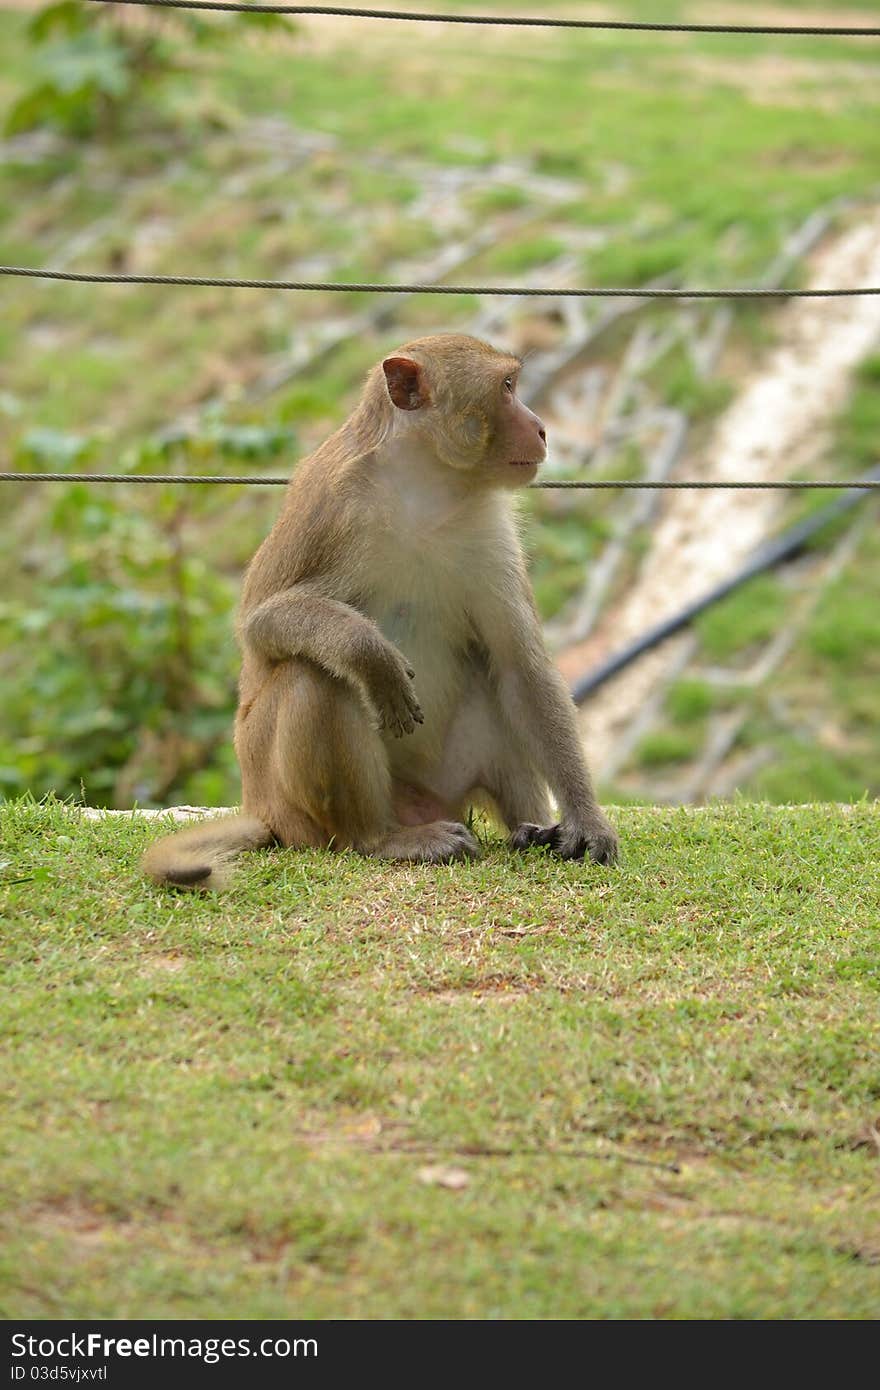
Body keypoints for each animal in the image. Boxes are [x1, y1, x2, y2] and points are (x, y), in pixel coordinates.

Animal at [142, 330, 617, 884]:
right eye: (507, 387)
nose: (541, 428)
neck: (426, 490)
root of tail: (260, 809)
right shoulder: (332, 505)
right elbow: (261, 624)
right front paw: (370, 654)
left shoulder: (491, 530)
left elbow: (519, 666)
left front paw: (586, 821)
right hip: (293, 804)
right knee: (313, 676)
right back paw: (380, 840)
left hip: (447, 785)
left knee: (491, 679)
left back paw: (530, 829)